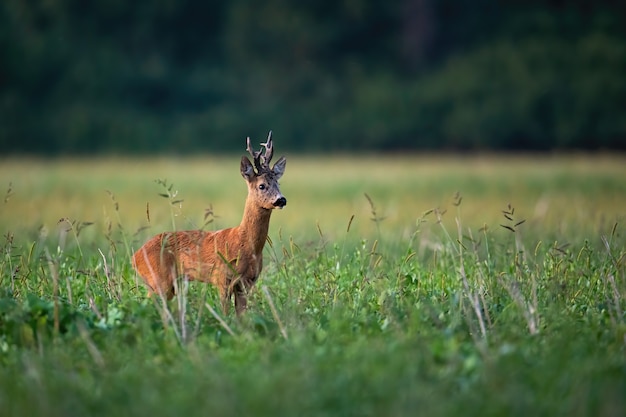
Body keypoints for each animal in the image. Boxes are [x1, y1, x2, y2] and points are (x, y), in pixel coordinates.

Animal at [133, 133, 288, 316]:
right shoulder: (222, 277)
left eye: (278, 183)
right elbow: (225, 312)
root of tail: (134, 256)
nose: (281, 200)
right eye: (262, 185)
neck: (247, 245)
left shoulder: (246, 283)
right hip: (158, 279)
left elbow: (241, 317)